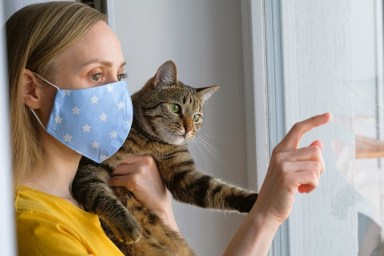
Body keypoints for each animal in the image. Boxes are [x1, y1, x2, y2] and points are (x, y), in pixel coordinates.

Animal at [72, 60, 258, 254]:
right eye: (175, 108)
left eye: (196, 117)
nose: (189, 129)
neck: (154, 143)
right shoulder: (89, 167)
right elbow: (99, 193)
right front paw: (128, 225)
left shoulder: (184, 175)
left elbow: (220, 190)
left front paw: (255, 201)